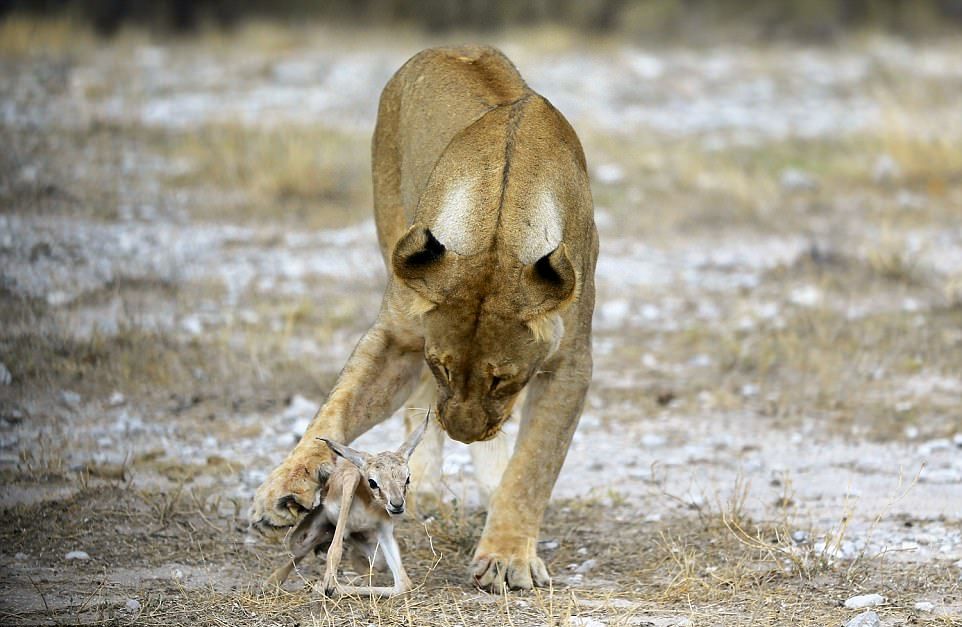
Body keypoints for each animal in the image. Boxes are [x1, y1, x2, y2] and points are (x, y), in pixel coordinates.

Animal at [264, 418, 426, 600]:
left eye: (408, 478)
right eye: (372, 482)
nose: (397, 504)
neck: (368, 507)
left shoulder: (384, 531)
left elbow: (403, 585)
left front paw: (326, 586)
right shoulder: (350, 478)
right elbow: (335, 550)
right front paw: (325, 585)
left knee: (373, 564)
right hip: (308, 534)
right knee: (299, 549)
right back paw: (273, 581)